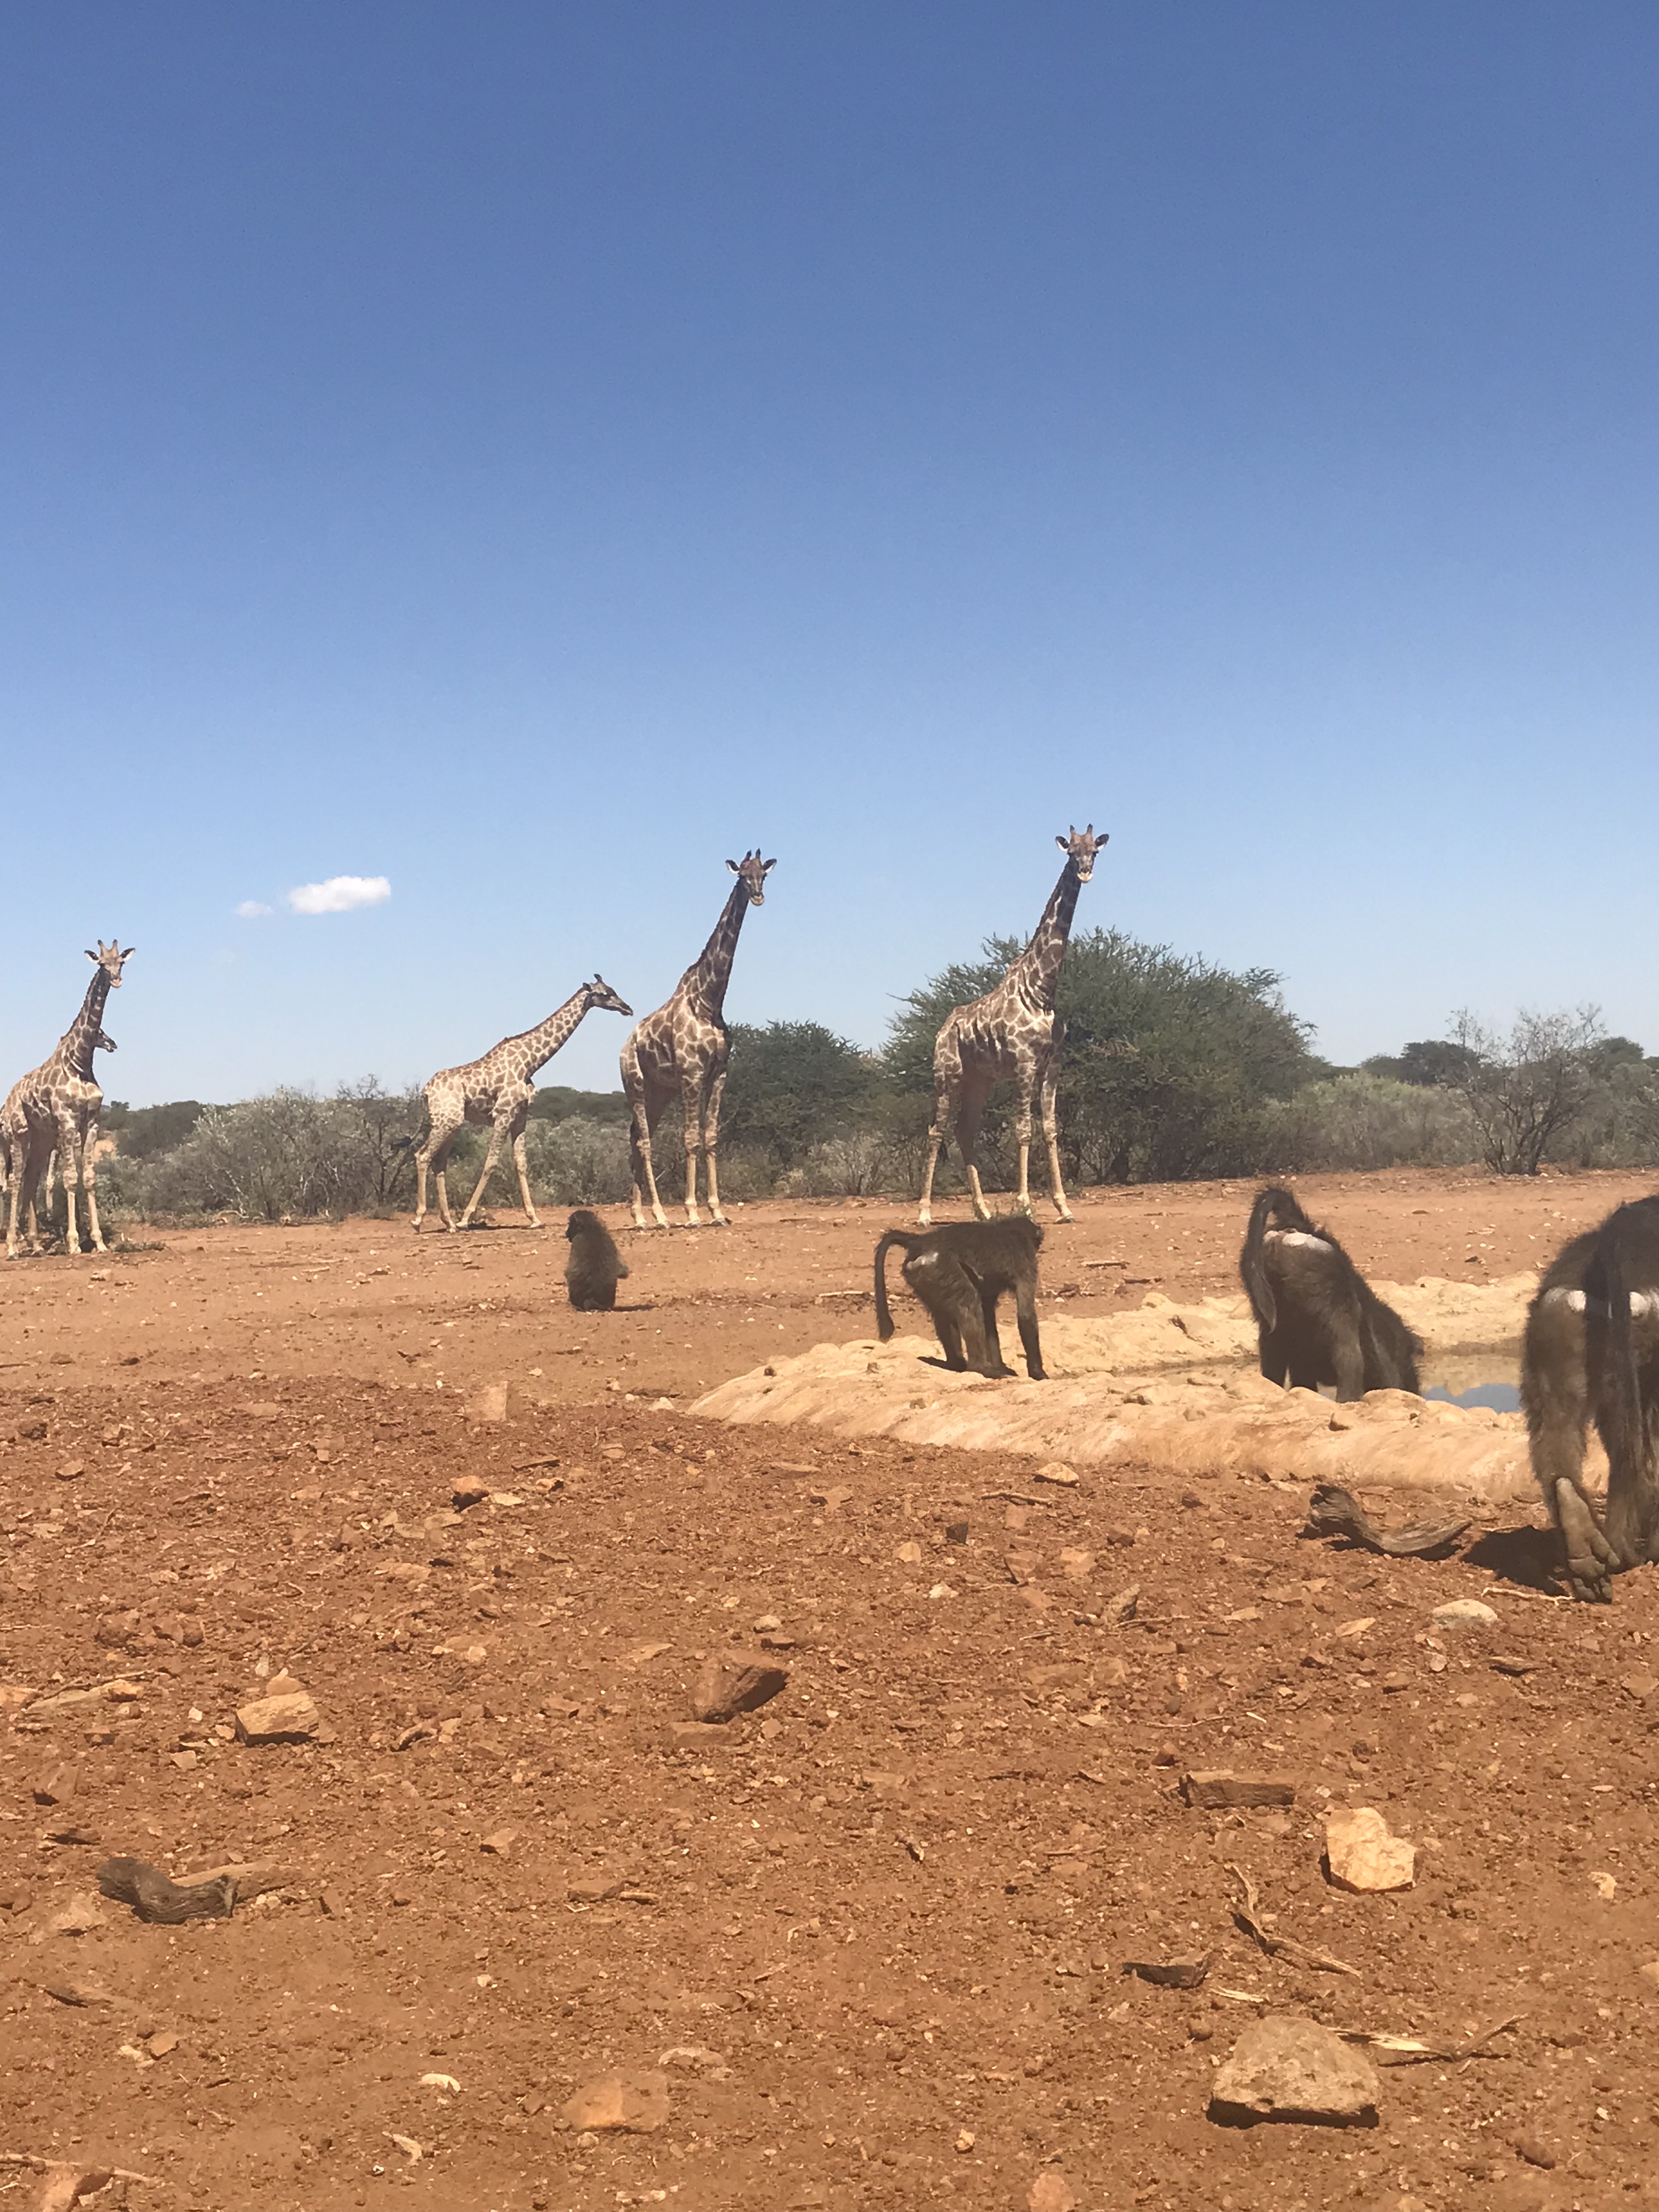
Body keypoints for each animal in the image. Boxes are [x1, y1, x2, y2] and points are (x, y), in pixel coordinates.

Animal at [4, 941, 135, 1259]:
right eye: (101, 963)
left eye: (121, 962)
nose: (116, 980)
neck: (80, 1061)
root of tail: (9, 1099)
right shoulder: (67, 1121)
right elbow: (70, 1179)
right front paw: (74, 1242)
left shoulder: (92, 1123)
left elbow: (88, 1178)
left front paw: (99, 1242)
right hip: (18, 1136)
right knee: (14, 1182)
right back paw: (13, 1246)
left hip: (40, 1140)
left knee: (30, 1180)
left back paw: (35, 1244)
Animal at [410, 976, 633, 1233]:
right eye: (606, 994)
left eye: (613, 990)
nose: (628, 1009)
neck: (531, 1062)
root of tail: (426, 1091)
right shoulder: (503, 1113)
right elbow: (491, 1163)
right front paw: (466, 1218)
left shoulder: (520, 1115)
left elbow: (522, 1164)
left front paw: (534, 1218)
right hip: (447, 1120)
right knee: (422, 1156)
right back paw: (420, 1220)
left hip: (452, 1123)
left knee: (439, 1162)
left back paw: (449, 1223)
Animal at [621, 850, 775, 1230]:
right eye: (742, 875)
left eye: (763, 874)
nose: (758, 896)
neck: (709, 1002)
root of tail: (624, 1046)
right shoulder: (692, 1075)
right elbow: (690, 1139)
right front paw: (691, 1212)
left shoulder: (719, 1074)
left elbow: (711, 1137)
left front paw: (717, 1211)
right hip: (635, 1085)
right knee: (644, 1142)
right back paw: (659, 1216)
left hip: (660, 1092)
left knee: (636, 1137)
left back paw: (640, 1215)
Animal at [917, 826, 1105, 1227]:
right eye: (1071, 852)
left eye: (1095, 851)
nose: (1084, 872)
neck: (1041, 989)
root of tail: (942, 1029)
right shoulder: (1023, 1062)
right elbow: (1023, 1130)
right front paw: (1025, 1205)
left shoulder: (1052, 1065)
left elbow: (1050, 1129)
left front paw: (1063, 1207)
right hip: (947, 1075)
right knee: (937, 1131)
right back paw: (924, 1212)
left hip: (979, 1081)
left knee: (965, 1130)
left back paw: (983, 1211)